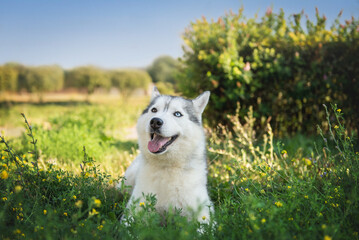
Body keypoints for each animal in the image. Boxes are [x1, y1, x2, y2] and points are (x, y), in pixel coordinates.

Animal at [122, 87, 215, 223]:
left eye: (177, 114)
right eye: (154, 110)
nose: (155, 121)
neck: (167, 167)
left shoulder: (204, 212)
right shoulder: (133, 210)